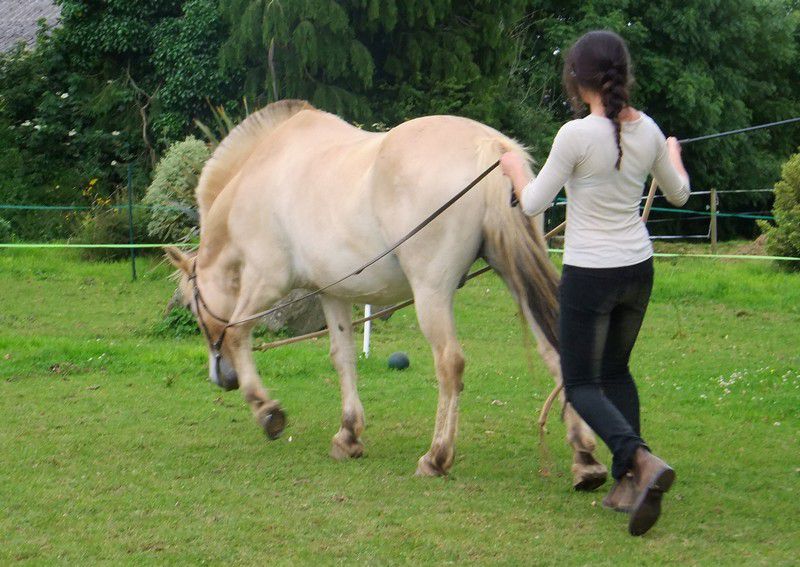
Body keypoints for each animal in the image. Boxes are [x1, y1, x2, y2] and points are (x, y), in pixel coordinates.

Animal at [164, 99, 607, 487]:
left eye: (193, 306)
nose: (224, 379)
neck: (260, 173)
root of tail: (490, 147)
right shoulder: (333, 293)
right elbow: (342, 357)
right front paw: (348, 434)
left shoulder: (265, 281)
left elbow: (238, 334)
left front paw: (266, 411)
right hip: (514, 276)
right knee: (554, 351)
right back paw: (585, 458)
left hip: (432, 293)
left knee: (450, 363)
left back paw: (436, 457)